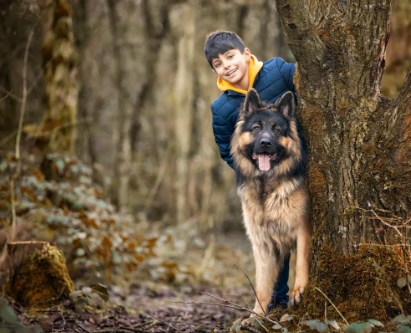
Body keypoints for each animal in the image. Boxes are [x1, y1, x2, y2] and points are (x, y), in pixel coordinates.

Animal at [232, 88, 312, 314]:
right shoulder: (263, 244)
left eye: (276, 130)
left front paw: (299, 290)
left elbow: (301, 261)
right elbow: (262, 284)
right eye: (256, 128)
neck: (267, 185)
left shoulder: (303, 229)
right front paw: (257, 316)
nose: (265, 143)